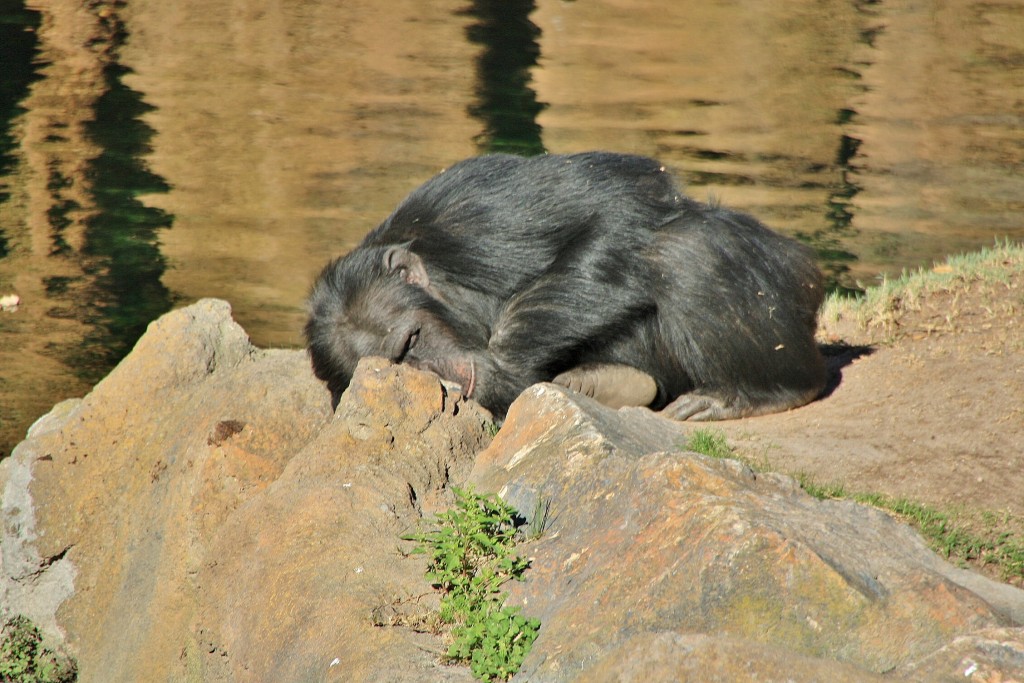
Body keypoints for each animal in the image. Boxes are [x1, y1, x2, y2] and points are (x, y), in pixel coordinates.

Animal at [301, 151, 823, 419]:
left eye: (411, 341)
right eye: (397, 370)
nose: (440, 376)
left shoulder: (473, 204)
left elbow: (616, 205)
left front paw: (502, 367)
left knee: (686, 250)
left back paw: (764, 393)